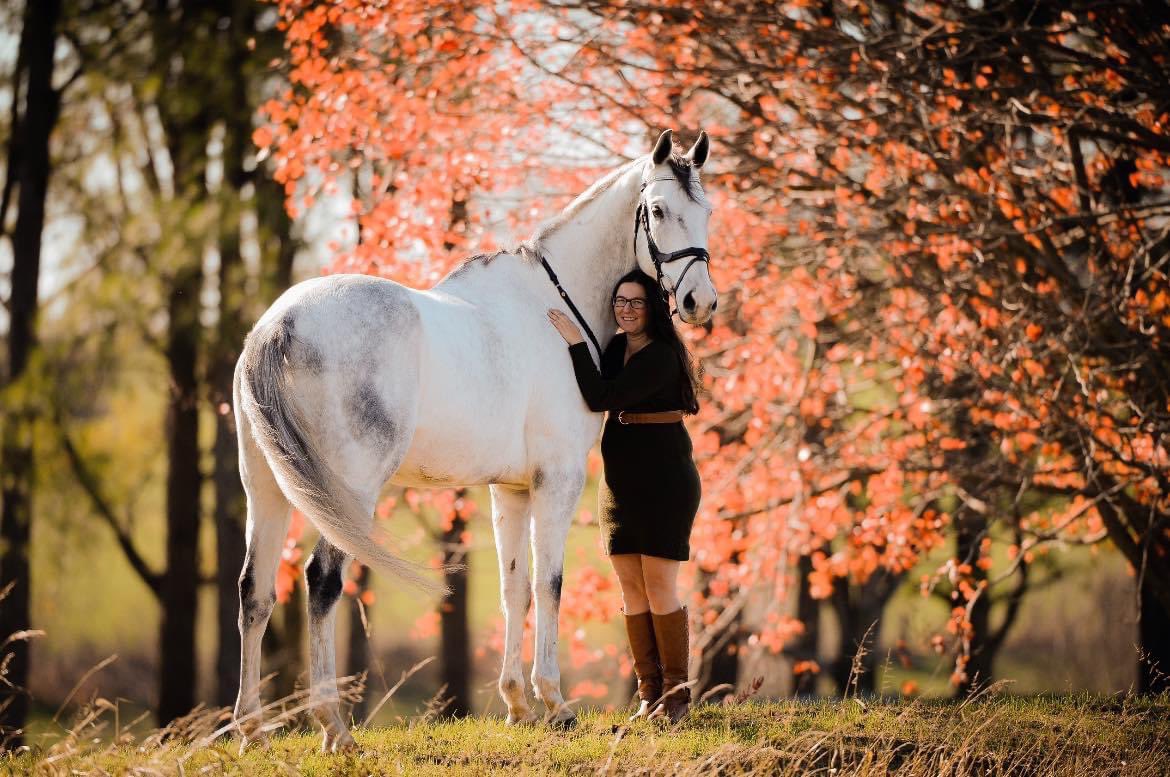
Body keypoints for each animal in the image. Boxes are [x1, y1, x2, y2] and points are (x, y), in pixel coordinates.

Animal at [232, 129, 717, 751]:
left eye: (706, 212)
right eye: (657, 210)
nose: (699, 302)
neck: (553, 308)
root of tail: (277, 326)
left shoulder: (509, 489)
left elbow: (515, 588)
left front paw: (517, 705)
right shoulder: (558, 479)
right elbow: (549, 582)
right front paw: (554, 703)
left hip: (266, 487)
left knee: (255, 590)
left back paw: (251, 729)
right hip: (349, 491)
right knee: (321, 582)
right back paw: (334, 728)